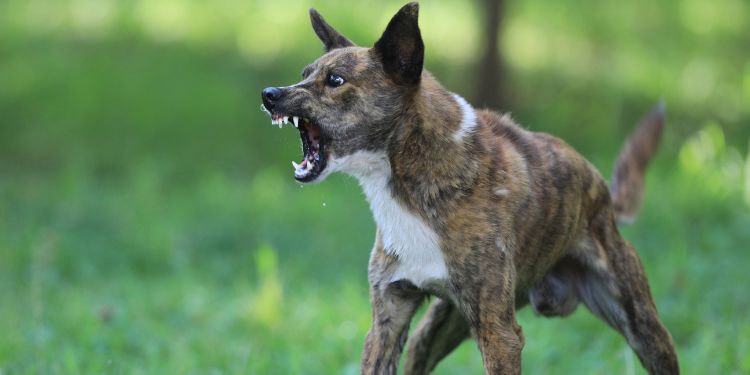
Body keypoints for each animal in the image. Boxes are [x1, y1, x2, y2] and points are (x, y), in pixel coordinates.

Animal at [260, 2, 680, 374]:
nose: (269, 94)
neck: (412, 172)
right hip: (436, 329)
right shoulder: (388, 318)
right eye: (305, 73)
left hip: (644, 328)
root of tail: (603, 195)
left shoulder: (500, 334)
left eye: (335, 81)